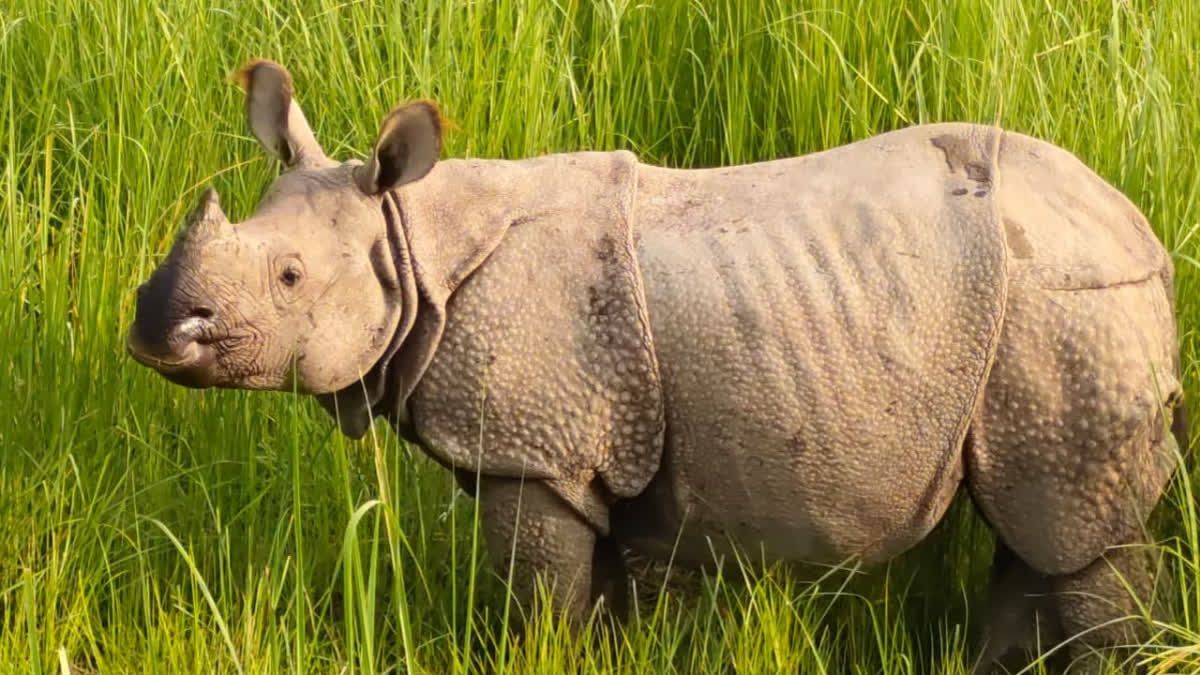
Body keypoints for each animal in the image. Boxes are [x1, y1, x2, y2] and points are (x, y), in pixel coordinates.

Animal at [127, 60, 1185, 672]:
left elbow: (541, 604)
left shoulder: (535, 454)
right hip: (1042, 311)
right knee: (1032, 529)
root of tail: (1139, 227)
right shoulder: (584, 457)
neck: (412, 241)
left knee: (1075, 534)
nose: (152, 330)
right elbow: (597, 600)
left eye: (289, 277)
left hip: (1065, 306)